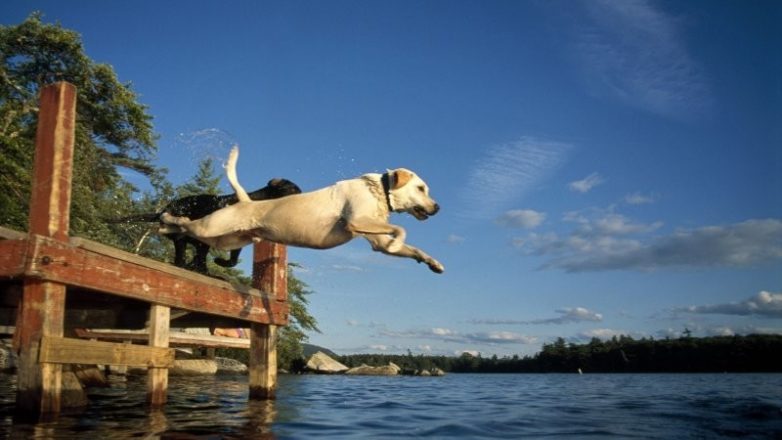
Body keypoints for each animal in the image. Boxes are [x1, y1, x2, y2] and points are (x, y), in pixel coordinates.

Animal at [115, 178, 302, 272]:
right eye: (295, 192)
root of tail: (163, 210)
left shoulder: (237, 242)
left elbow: (233, 261)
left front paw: (219, 262)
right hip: (183, 237)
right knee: (182, 258)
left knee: (195, 257)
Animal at [159, 146, 444, 274]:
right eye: (421, 188)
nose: (438, 207)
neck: (380, 190)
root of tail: (245, 200)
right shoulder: (356, 220)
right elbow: (401, 229)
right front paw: (399, 243)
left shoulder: (377, 241)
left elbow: (411, 248)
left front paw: (434, 263)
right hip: (210, 227)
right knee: (184, 223)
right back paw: (166, 218)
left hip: (227, 240)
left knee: (194, 238)